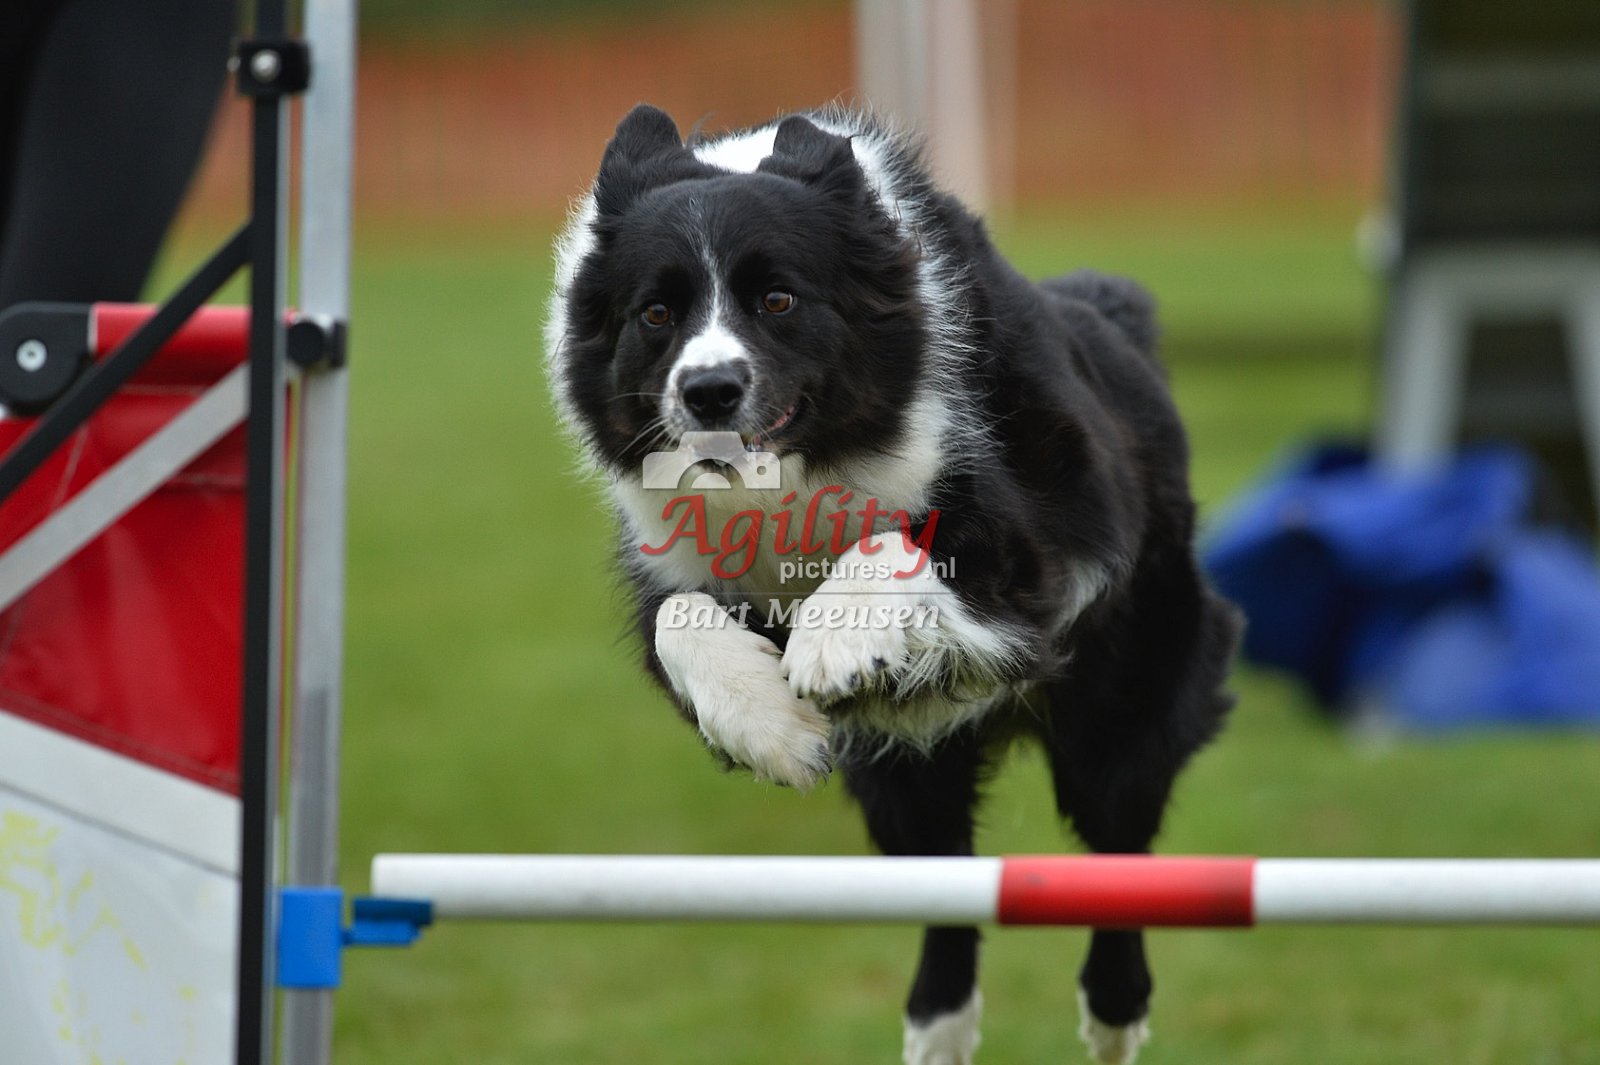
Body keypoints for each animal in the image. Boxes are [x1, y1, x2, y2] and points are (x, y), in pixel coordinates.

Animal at [544, 103, 1240, 1065]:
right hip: (902, 775)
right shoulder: (675, 556)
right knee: (945, 878)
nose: (709, 390)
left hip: (1125, 701)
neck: (806, 463)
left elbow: (889, 540)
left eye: (779, 299)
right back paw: (936, 1027)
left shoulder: (1038, 553)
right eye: (655, 313)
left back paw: (1113, 1015)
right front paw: (769, 727)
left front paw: (834, 646)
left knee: (1118, 846)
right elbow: (679, 614)